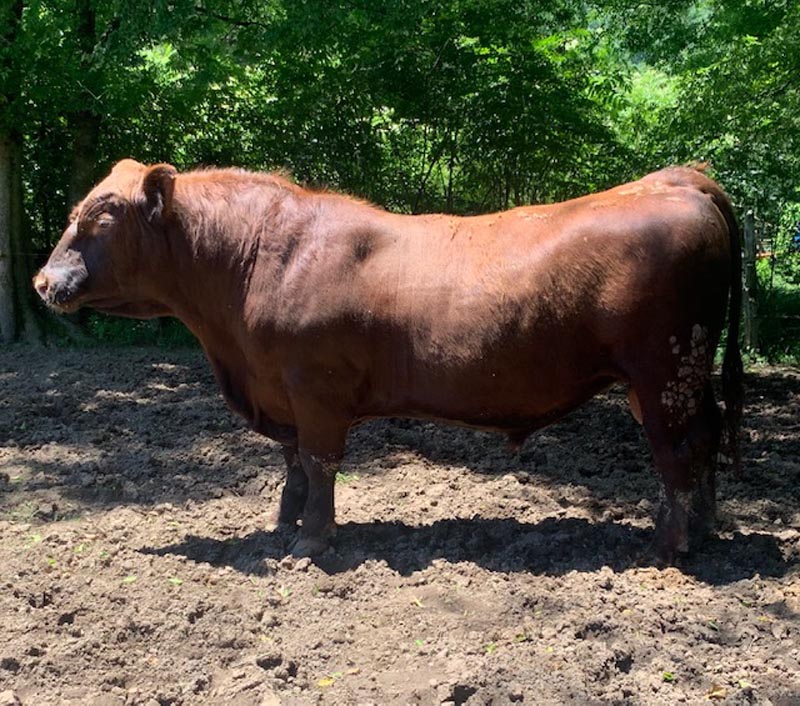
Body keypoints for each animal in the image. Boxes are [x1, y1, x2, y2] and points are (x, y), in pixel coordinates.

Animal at [32, 162, 744, 560]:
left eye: (102, 217)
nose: (42, 281)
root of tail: (678, 178)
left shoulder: (313, 390)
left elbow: (319, 464)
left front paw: (313, 542)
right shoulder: (282, 394)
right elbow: (293, 465)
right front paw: (283, 525)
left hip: (664, 371)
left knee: (677, 452)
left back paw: (666, 546)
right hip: (674, 379)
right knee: (705, 440)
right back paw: (705, 530)